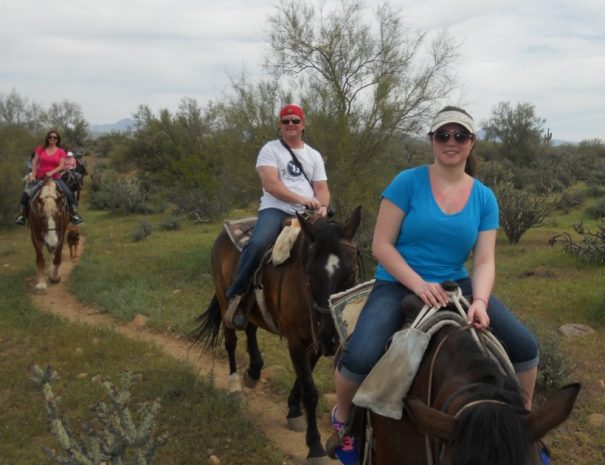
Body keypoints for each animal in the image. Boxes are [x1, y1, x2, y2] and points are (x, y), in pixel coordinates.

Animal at [196, 208, 360, 464]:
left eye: (350, 272)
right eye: (310, 273)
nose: (331, 338)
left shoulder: (313, 342)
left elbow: (303, 379)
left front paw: (293, 410)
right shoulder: (296, 341)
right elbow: (310, 391)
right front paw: (315, 446)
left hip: (252, 308)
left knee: (251, 329)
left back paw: (254, 371)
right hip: (225, 302)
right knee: (231, 341)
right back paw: (235, 387)